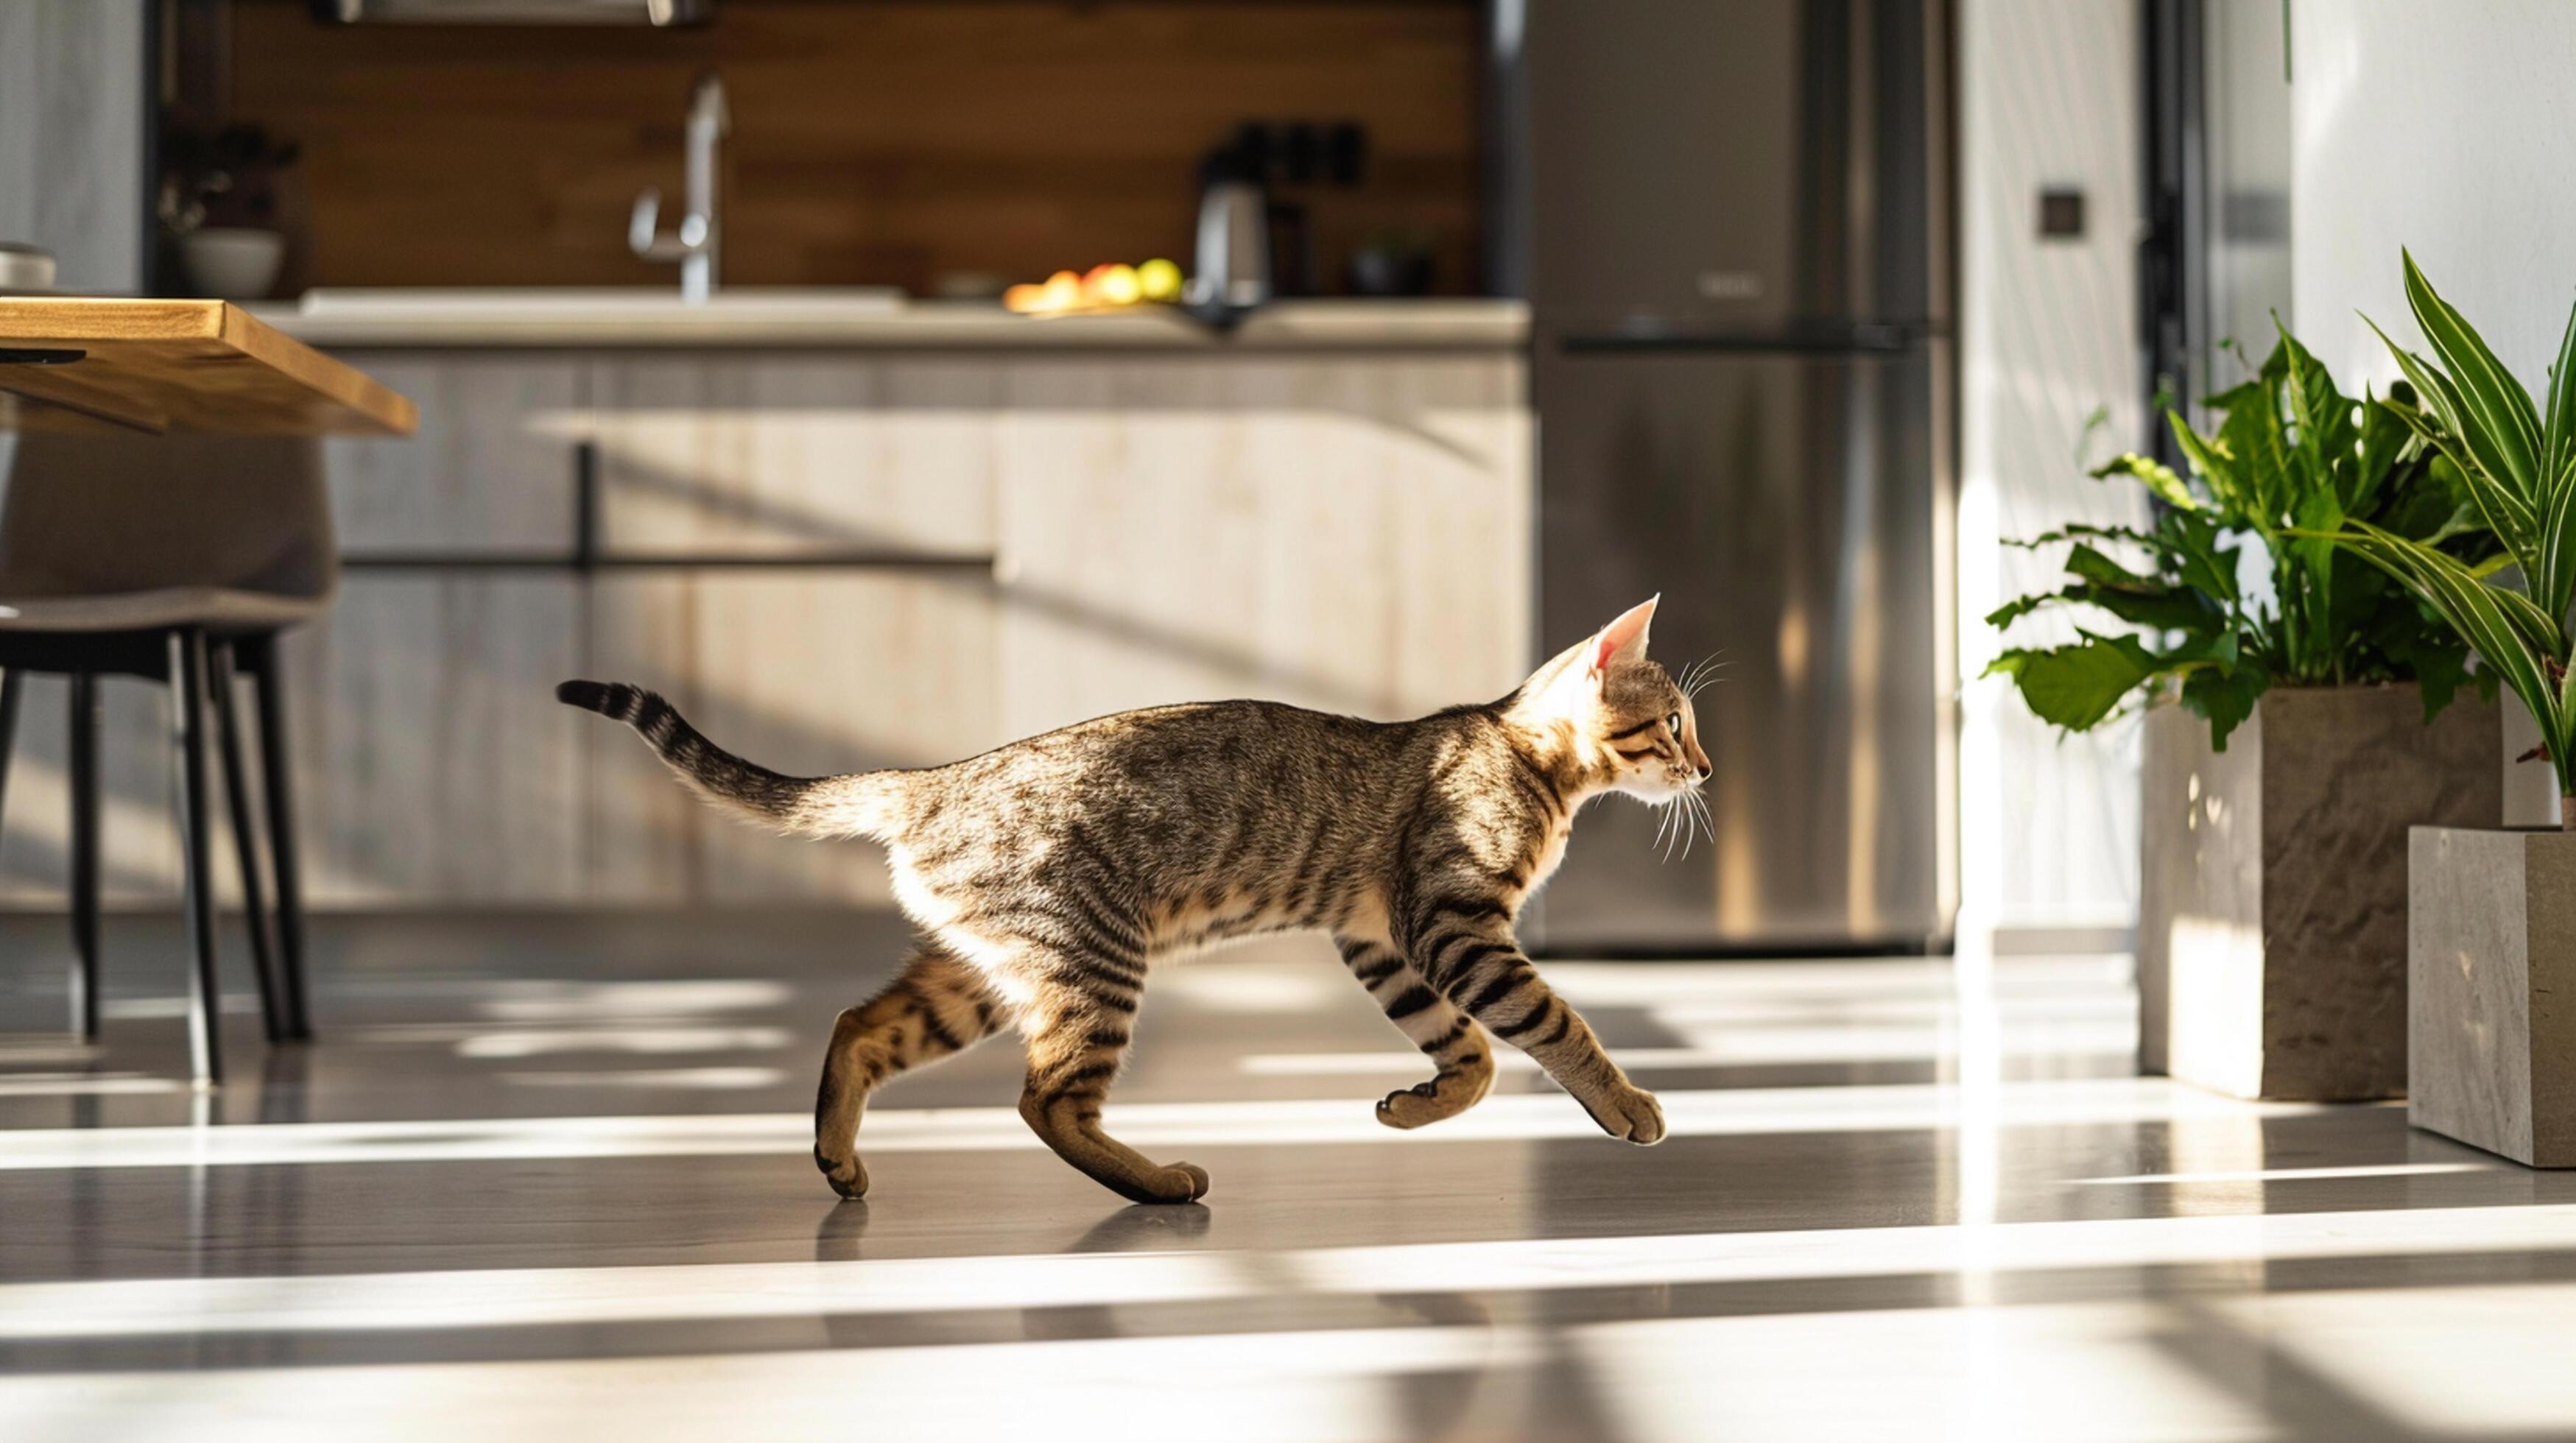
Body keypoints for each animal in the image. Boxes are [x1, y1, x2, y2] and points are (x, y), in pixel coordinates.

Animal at [559, 593, 1710, 1201]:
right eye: (1675, 723)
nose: (1706, 769)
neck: (1525, 755)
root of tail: (930, 781)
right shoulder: (1451, 925)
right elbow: (1554, 1025)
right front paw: (1629, 1107)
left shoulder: (1382, 941)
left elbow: (1468, 1058)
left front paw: (1416, 1104)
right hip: (1091, 962)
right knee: (1047, 1099)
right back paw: (1158, 1181)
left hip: (982, 976)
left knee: (858, 1026)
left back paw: (838, 1159)